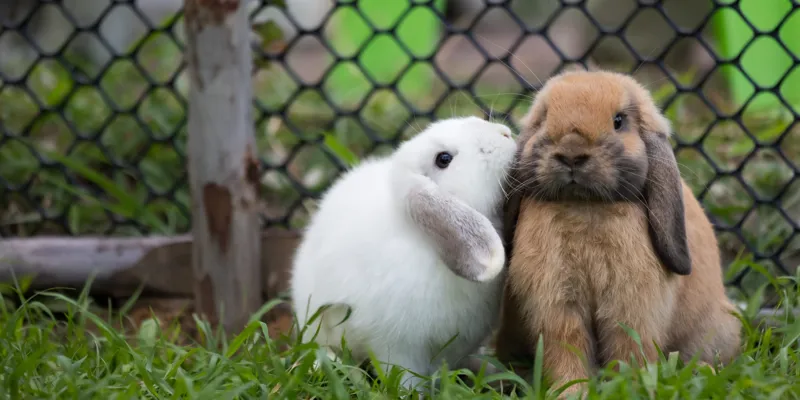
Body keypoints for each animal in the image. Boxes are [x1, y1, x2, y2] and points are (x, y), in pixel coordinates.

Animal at [495, 69, 742, 396]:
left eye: (619, 121)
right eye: (545, 117)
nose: (572, 153)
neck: (584, 206)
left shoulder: (631, 307)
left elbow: (628, 349)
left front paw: (628, 387)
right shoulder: (557, 304)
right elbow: (566, 347)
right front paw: (571, 391)